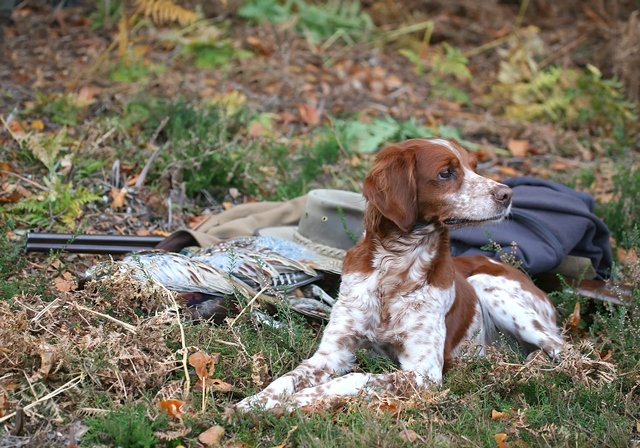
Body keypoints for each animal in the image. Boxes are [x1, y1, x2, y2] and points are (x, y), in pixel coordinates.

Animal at [234, 139, 560, 410]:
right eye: (446, 173)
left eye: (474, 168)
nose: (507, 193)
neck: (397, 269)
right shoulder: (332, 353)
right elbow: (287, 378)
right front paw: (255, 402)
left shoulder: (424, 372)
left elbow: (354, 378)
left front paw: (296, 402)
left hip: (490, 287)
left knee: (562, 349)